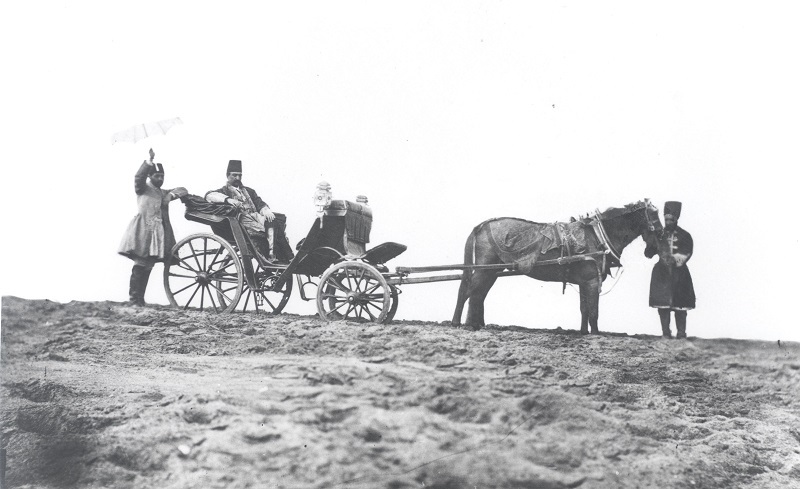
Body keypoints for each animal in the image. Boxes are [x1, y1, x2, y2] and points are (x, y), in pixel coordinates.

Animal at [450, 197, 664, 332]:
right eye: (654, 215)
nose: (656, 246)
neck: (596, 235)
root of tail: (482, 225)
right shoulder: (592, 281)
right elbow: (594, 312)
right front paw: (595, 334)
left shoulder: (584, 283)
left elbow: (584, 310)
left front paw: (583, 332)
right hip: (484, 269)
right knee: (470, 293)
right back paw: (465, 324)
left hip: (492, 271)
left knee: (477, 294)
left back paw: (474, 323)